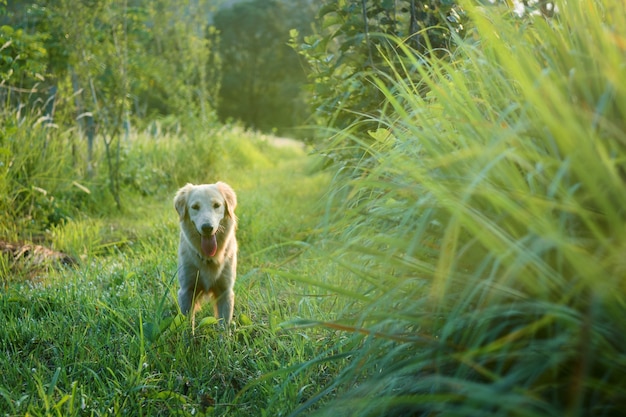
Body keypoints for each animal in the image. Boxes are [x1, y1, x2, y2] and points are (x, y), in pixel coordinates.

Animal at [173, 180, 236, 326]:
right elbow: (187, 325)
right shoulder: (187, 290)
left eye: (217, 205)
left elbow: (224, 326)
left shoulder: (225, 292)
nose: (207, 228)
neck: (209, 257)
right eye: (195, 207)